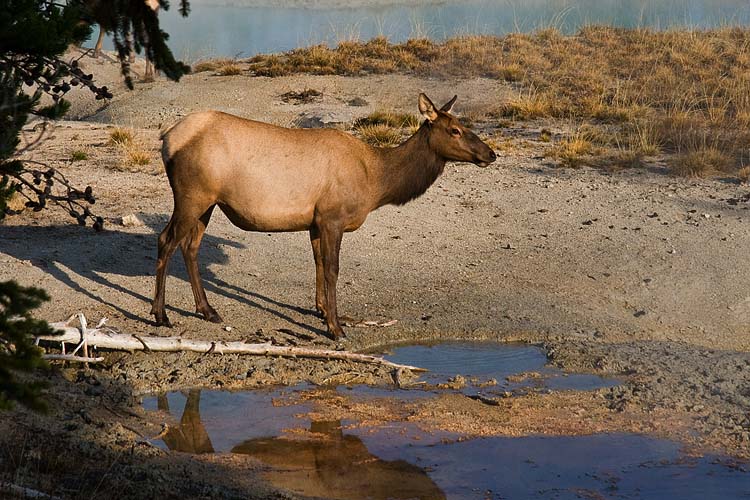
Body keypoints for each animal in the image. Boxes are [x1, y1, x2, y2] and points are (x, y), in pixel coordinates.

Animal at [151, 93, 497, 340]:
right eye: (454, 130)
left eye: (466, 126)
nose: (491, 154)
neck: (377, 182)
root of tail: (167, 137)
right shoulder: (333, 217)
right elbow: (332, 269)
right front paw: (336, 326)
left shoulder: (315, 222)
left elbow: (317, 263)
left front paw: (319, 311)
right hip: (192, 195)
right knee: (166, 240)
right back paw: (160, 315)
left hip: (207, 202)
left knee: (190, 247)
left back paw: (207, 310)